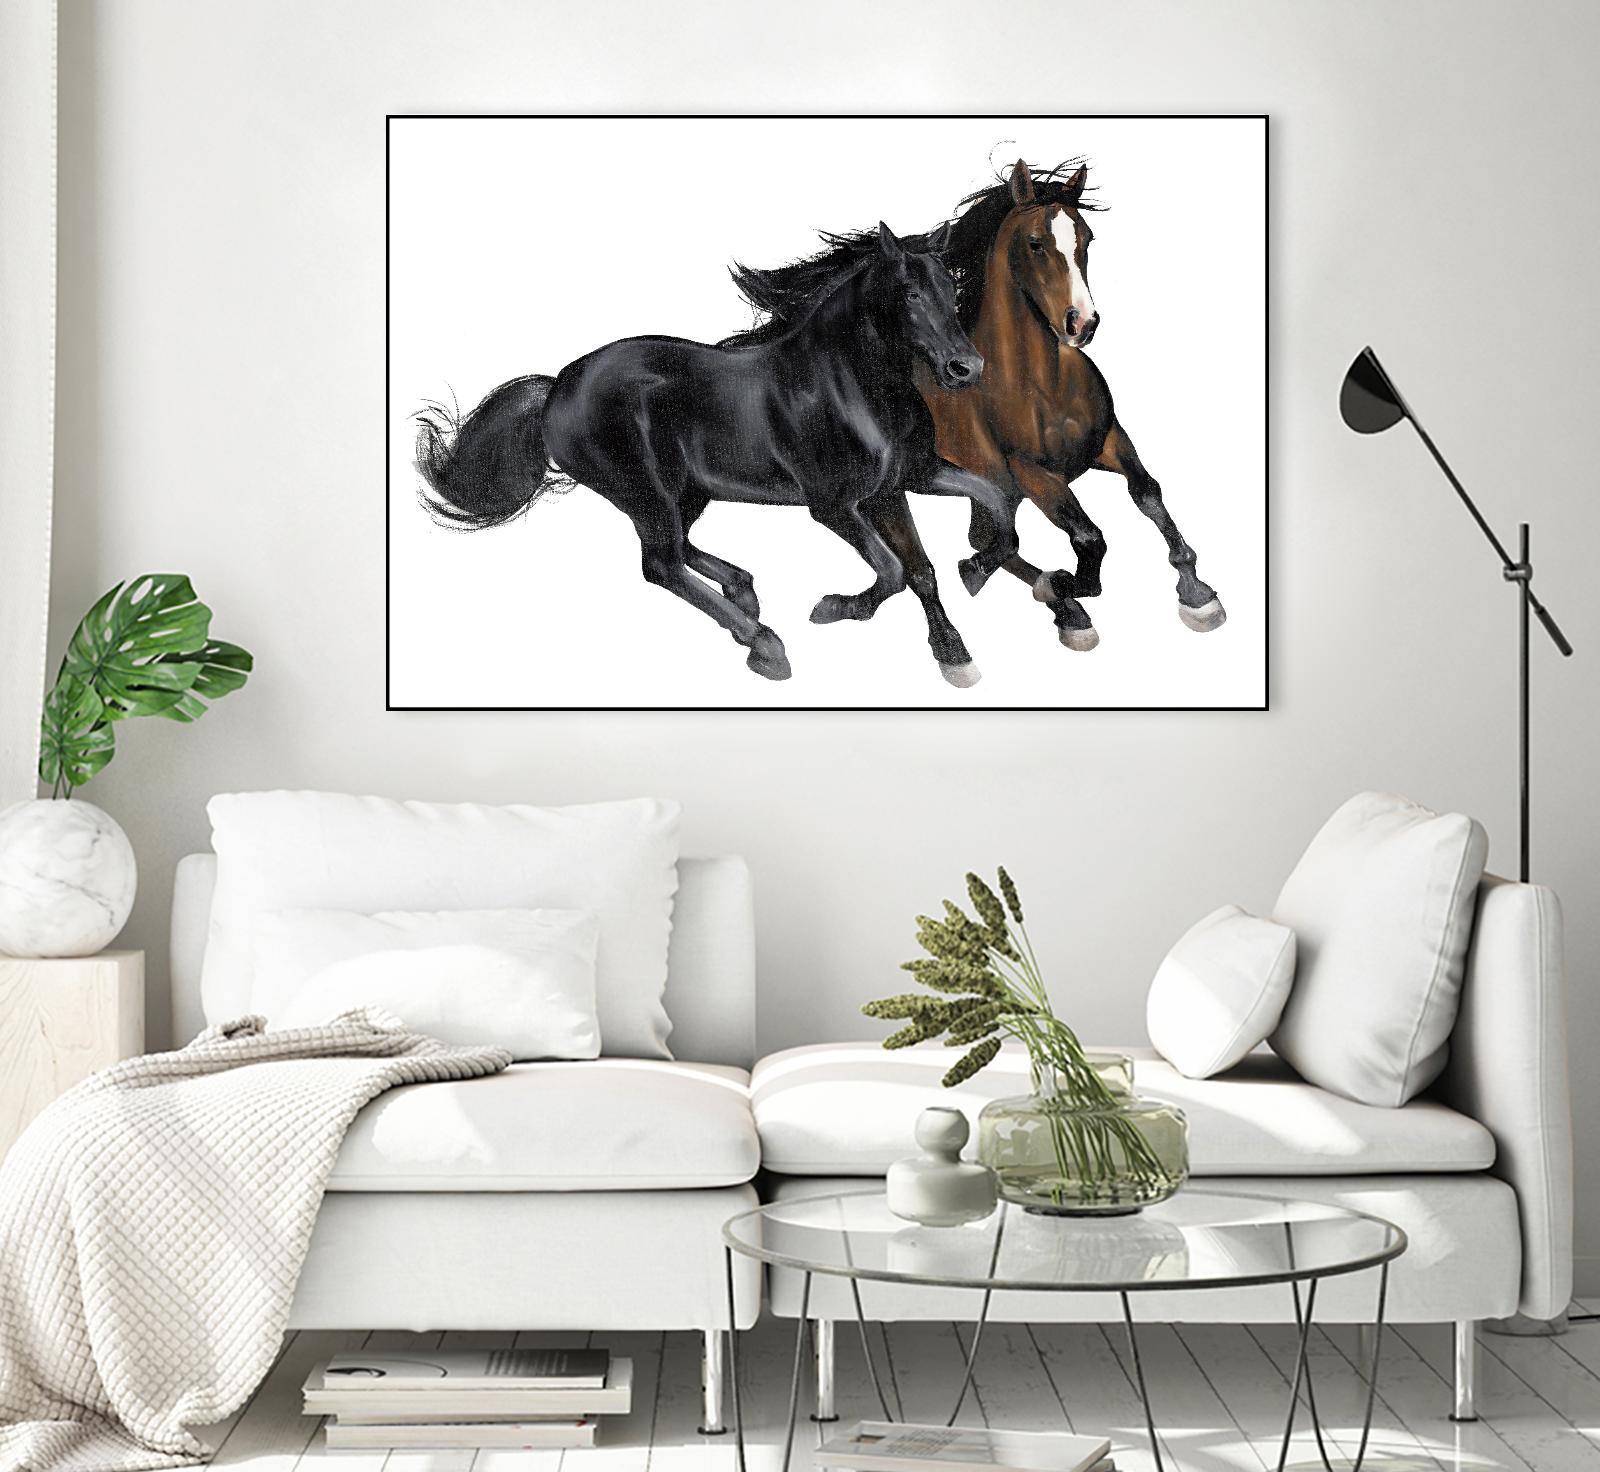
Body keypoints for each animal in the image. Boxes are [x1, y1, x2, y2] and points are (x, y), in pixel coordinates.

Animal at [414, 222, 1018, 686]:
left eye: (950, 288)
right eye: (910, 293)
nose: (966, 369)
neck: (848, 385)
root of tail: (558, 385)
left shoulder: (903, 482)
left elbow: (976, 520)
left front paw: (962, 627)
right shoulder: (833, 505)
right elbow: (893, 570)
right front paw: (834, 608)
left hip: (687, 492)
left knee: (675, 551)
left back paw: (745, 596)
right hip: (646, 492)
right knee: (660, 563)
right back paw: (766, 645)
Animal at [732, 160, 1227, 650]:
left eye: (1086, 239)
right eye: (1036, 243)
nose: (1081, 324)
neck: (1041, 385)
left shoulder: (1109, 441)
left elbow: (1148, 493)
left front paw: (1197, 594)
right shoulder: (1031, 473)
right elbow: (1088, 539)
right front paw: (1062, 587)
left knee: (985, 539)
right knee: (964, 551)